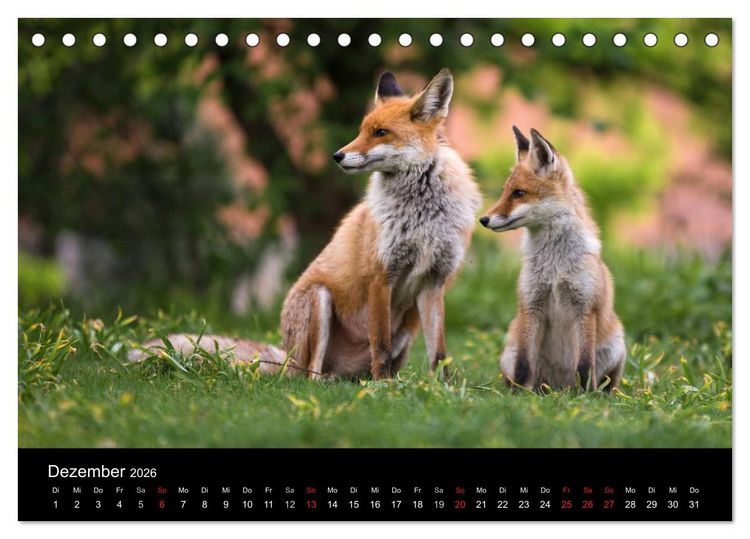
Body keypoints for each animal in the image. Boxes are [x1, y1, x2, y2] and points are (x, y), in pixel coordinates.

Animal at [130, 68, 481, 381]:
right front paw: (384, 389)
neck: (421, 213)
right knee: (310, 376)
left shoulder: (434, 280)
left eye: (381, 132)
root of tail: (287, 357)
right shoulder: (381, 276)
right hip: (319, 301)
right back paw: (347, 383)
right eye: (361, 130)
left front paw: (442, 389)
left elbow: (439, 352)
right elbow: (380, 345)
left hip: (406, 332)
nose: (337, 156)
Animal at [479, 126, 626, 391]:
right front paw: (519, 394)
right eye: (504, 192)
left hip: (617, 345)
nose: (483, 220)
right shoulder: (531, 305)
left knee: (606, 381)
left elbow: (585, 365)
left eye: (519, 193)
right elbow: (525, 364)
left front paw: (585, 395)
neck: (555, 267)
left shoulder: (585, 307)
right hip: (509, 352)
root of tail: (559, 387)